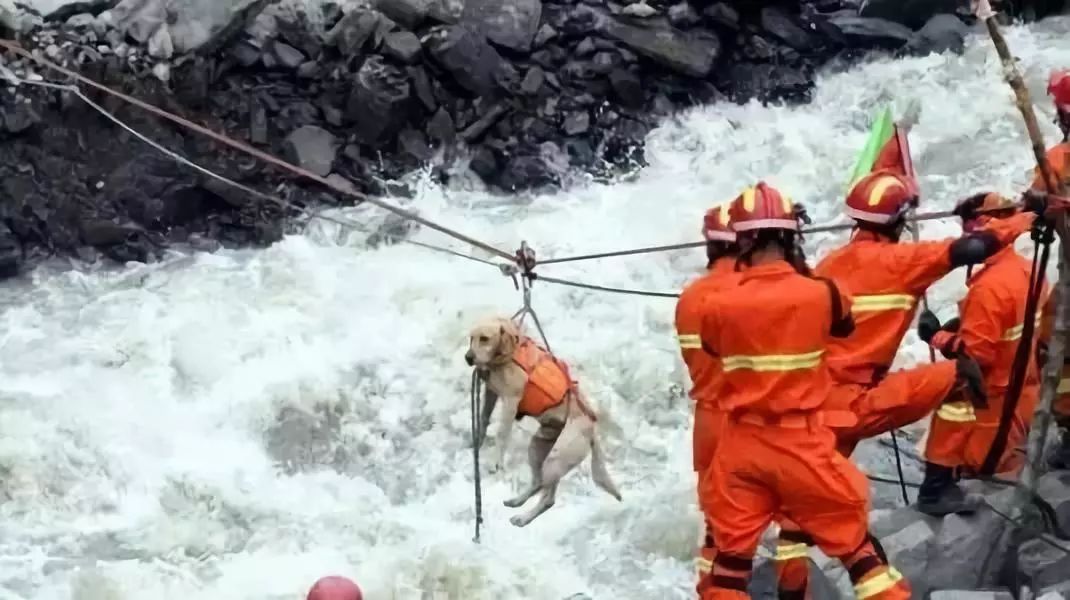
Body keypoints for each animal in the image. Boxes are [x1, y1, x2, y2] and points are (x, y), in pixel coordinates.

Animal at [464, 316, 624, 526]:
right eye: (471, 338)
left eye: (484, 338)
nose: (468, 358)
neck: (510, 353)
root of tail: (591, 431)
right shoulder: (491, 392)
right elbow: (483, 419)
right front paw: (478, 441)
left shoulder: (511, 401)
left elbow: (502, 434)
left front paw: (495, 462)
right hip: (537, 448)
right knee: (538, 484)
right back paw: (517, 501)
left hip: (555, 460)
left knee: (548, 499)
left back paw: (523, 518)